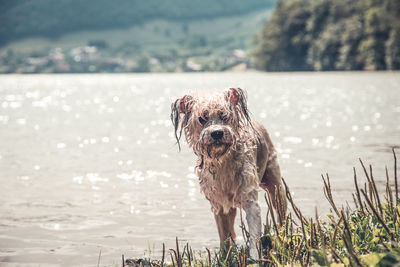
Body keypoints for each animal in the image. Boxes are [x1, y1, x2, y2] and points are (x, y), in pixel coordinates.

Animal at [170, 89, 286, 258]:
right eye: (202, 118)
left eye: (224, 116)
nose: (217, 133)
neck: (223, 161)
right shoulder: (219, 205)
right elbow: (224, 236)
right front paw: (225, 256)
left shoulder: (250, 201)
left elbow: (254, 234)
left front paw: (254, 258)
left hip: (275, 185)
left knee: (280, 208)